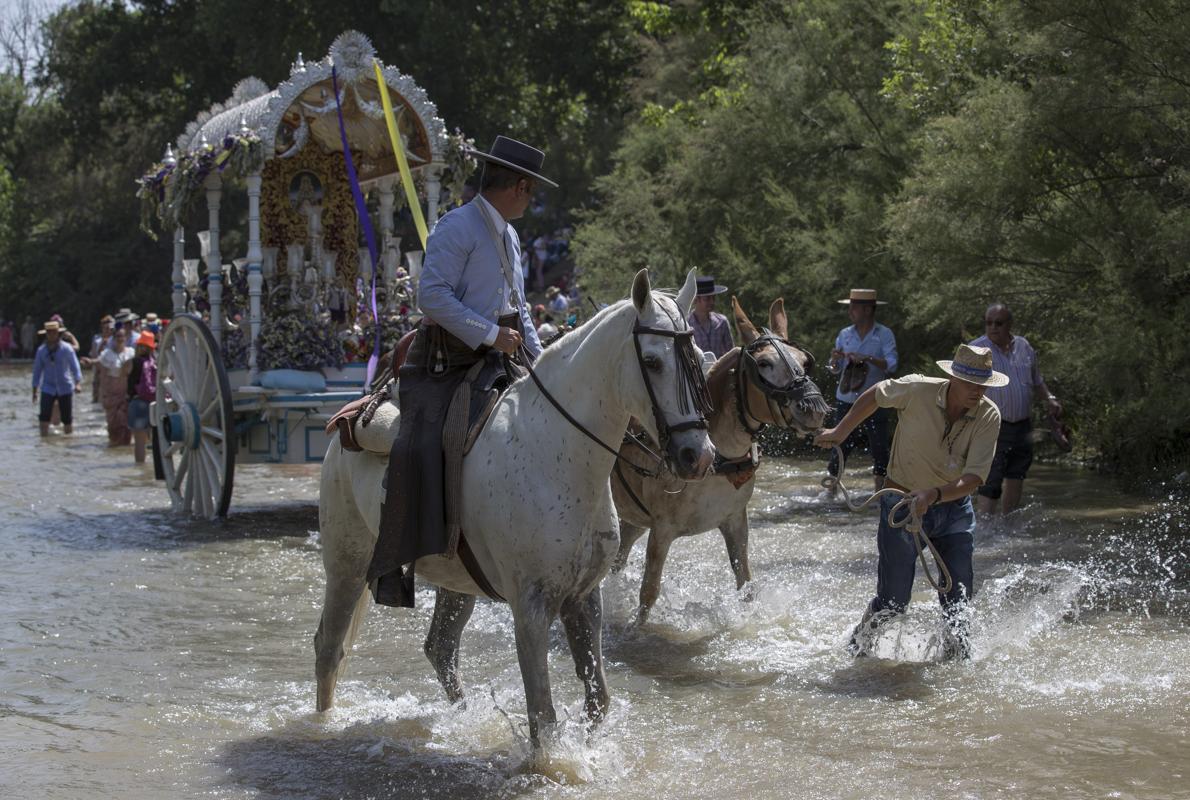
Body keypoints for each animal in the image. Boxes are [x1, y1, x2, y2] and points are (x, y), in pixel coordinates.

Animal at [316, 266, 714, 742]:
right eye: (652, 361)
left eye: (697, 358)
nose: (698, 456)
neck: (557, 453)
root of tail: (349, 420)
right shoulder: (531, 607)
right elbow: (542, 715)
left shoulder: (584, 597)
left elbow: (597, 700)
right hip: (348, 564)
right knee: (330, 648)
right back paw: (321, 724)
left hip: (455, 581)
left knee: (440, 649)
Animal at [614, 296, 828, 623]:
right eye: (764, 363)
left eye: (804, 361)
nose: (814, 407)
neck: (717, 458)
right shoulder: (662, 530)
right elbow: (648, 593)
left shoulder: (735, 521)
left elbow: (746, 585)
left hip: (633, 519)